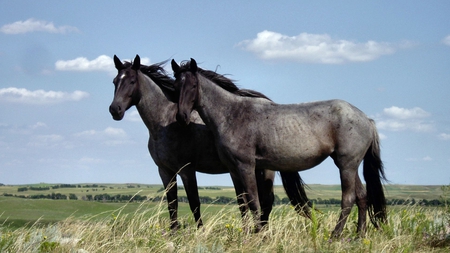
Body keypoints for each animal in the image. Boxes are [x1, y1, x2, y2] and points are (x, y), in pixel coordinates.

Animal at [108, 54, 308, 230]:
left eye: (132, 81)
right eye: (115, 81)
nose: (114, 110)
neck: (164, 123)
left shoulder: (187, 170)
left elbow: (194, 202)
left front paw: (200, 232)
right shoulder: (165, 171)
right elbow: (172, 204)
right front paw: (173, 233)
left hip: (265, 170)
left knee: (265, 202)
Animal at [171, 58, 386, 236]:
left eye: (193, 85)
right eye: (175, 86)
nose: (181, 117)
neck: (232, 114)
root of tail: (366, 119)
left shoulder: (246, 166)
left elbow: (254, 202)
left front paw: (258, 235)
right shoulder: (233, 169)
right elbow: (242, 203)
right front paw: (246, 234)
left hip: (346, 166)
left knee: (348, 199)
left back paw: (335, 235)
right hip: (349, 165)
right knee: (362, 197)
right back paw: (359, 235)